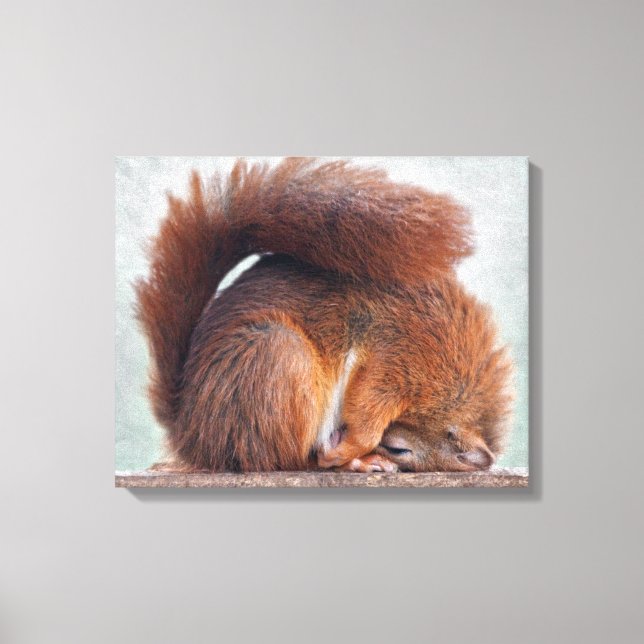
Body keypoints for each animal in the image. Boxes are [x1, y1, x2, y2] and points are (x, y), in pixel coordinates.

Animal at [135, 158, 512, 473]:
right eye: (400, 450)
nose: (388, 450)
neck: (455, 387)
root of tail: (192, 435)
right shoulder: (402, 355)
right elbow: (369, 403)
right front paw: (350, 449)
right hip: (277, 357)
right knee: (289, 461)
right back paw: (351, 461)